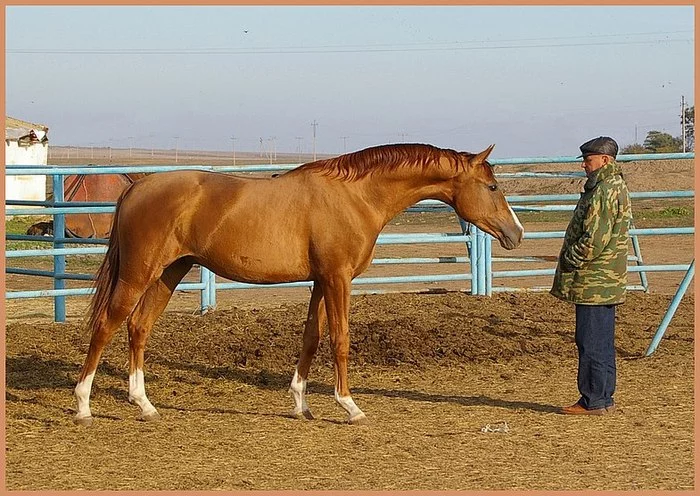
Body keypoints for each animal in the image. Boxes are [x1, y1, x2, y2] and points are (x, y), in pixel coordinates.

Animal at [74, 142, 524, 426]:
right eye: (492, 186)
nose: (516, 233)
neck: (356, 196)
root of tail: (136, 185)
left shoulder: (321, 281)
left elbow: (311, 337)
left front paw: (300, 404)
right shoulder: (338, 278)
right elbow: (340, 339)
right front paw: (350, 406)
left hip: (170, 273)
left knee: (138, 328)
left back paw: (144, 405)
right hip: (138, 274)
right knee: (106, 326)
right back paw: (83, 406)